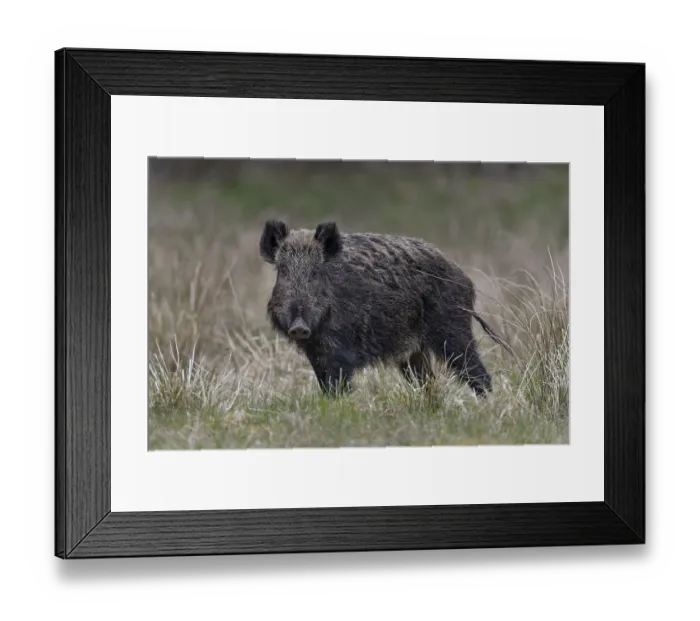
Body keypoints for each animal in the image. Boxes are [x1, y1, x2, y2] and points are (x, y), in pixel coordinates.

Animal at [260, 220, 514, 397]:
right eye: (283, 271)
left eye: (315, 272)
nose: (298, 327)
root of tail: (464, 279)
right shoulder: (315, 353)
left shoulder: (341, 350)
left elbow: (337, 386)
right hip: (415, 352)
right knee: (428, 381)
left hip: (453, 331)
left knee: (477, 374)